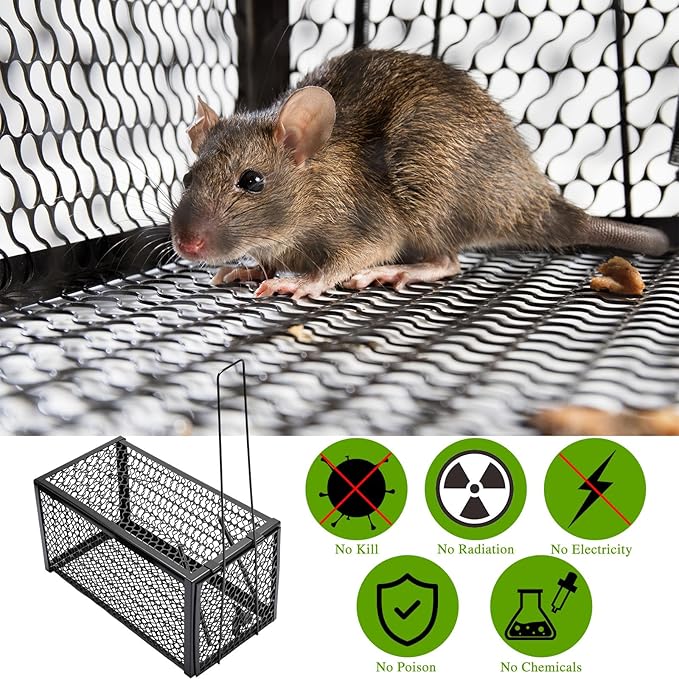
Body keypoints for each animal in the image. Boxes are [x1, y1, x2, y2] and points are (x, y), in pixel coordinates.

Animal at [170, 48, 670, 299]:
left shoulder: (364, 220)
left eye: (251, 181)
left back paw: (398, 271)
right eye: (188, 178)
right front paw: (250, 269)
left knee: (449, 260)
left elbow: (356, 253)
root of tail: (531, 199)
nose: (186, 244)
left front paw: (301, 280)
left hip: (429, 191)